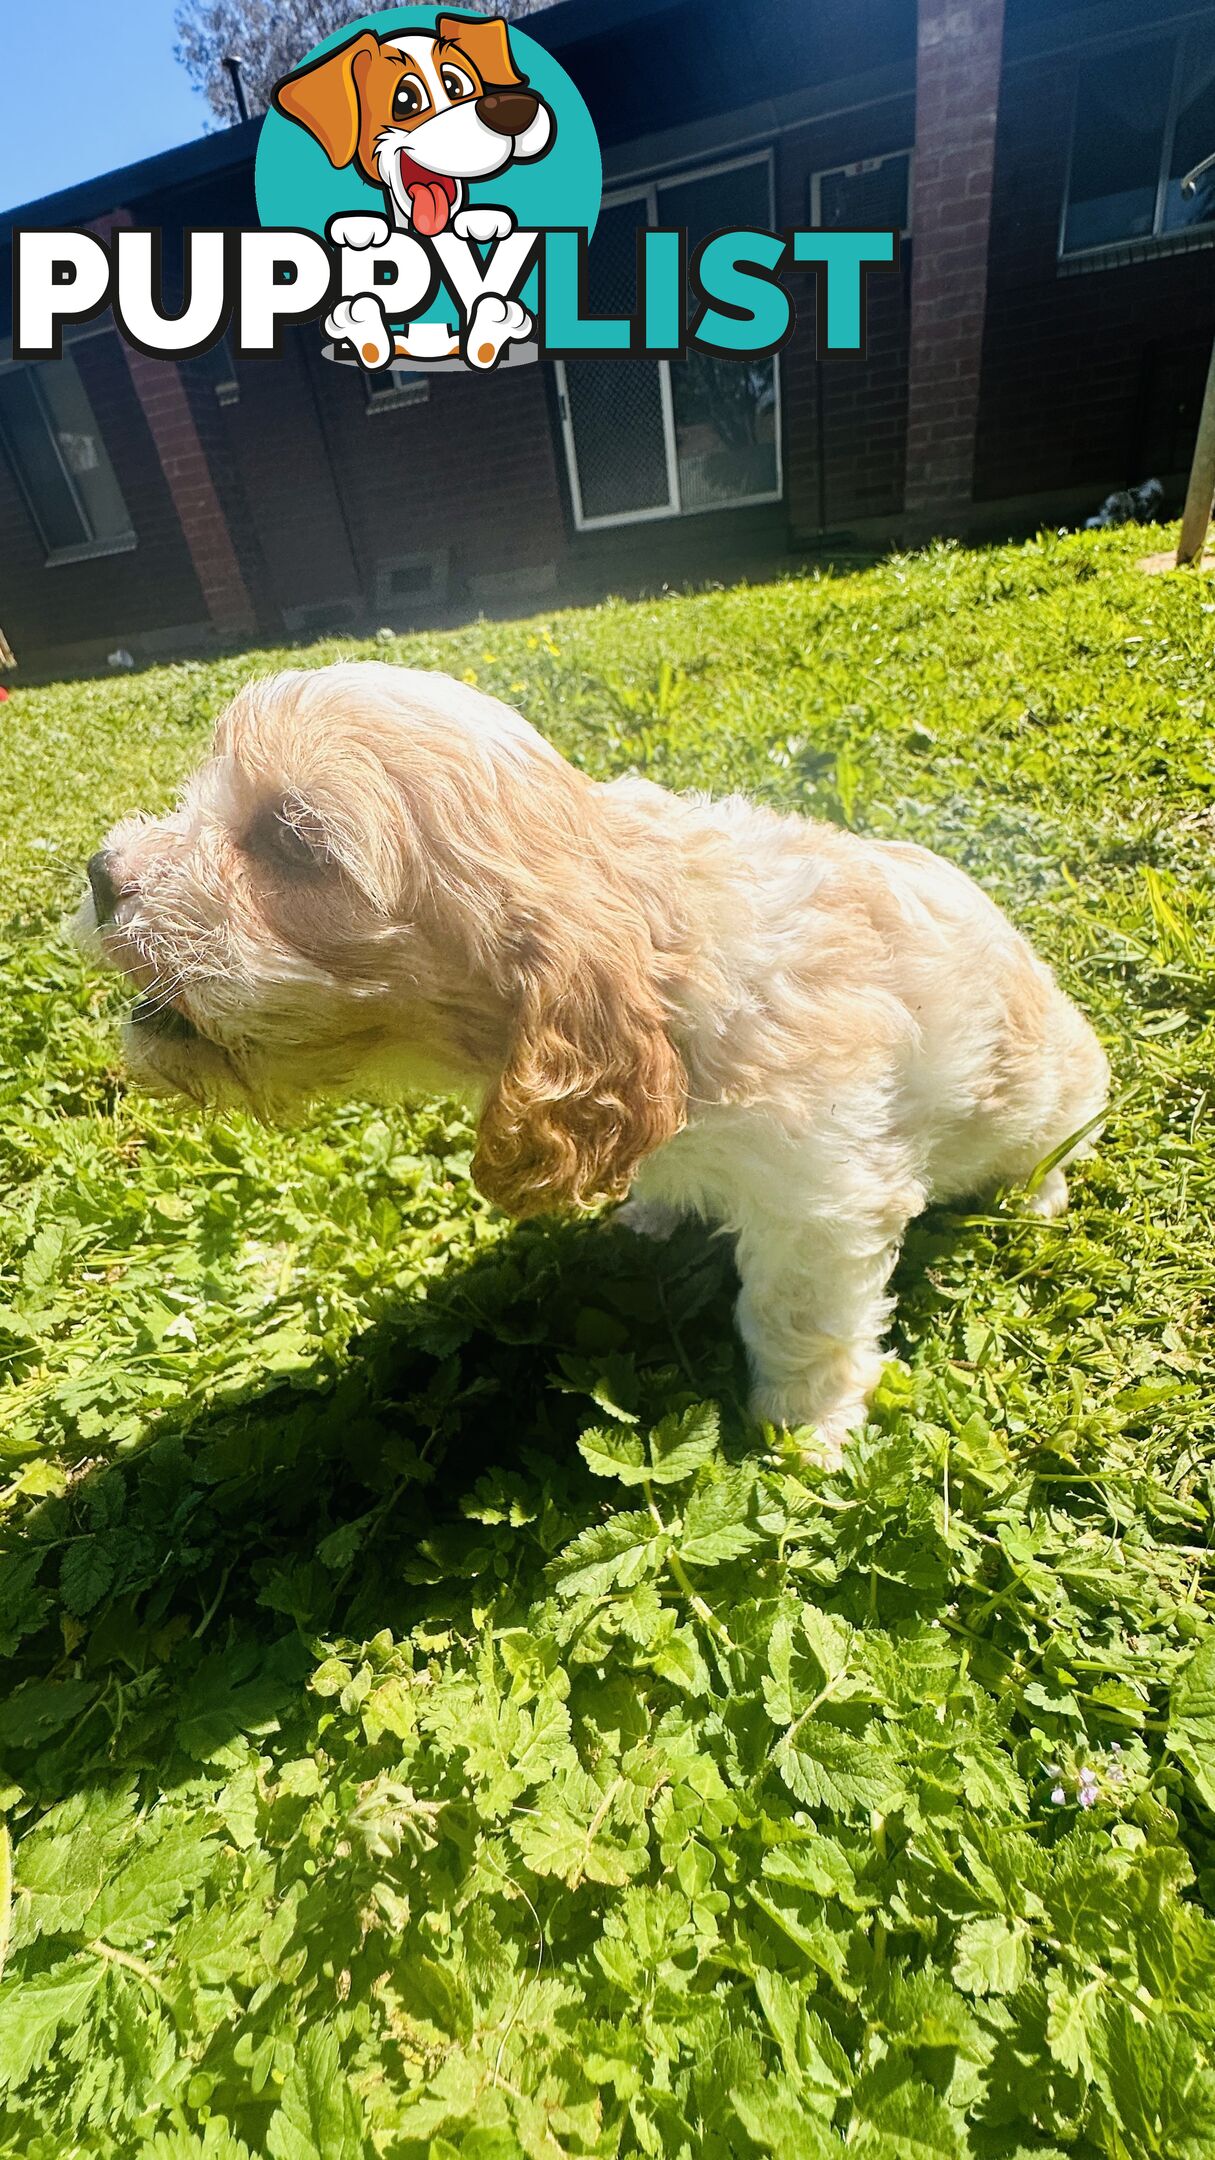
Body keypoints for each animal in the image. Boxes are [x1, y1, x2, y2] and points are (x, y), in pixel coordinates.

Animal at [70, 665, 1102, 1460]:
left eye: (290, 840)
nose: (100, 871)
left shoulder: (825, 1197)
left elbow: (796, 1318)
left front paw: (801, 1432)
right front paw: (650, 1206)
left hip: (1063, 1093)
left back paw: (1035, 1196)